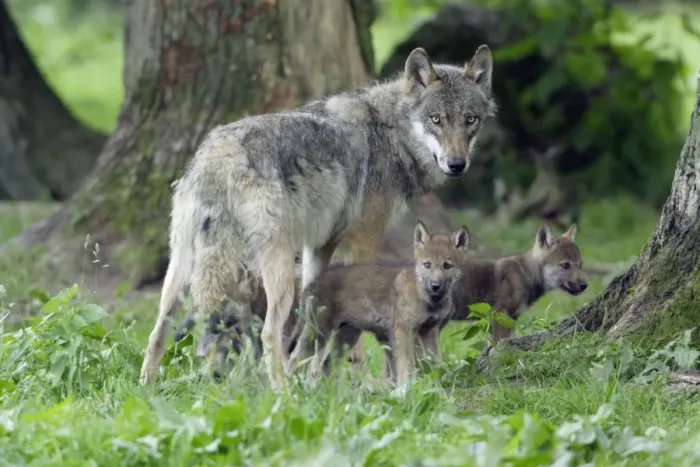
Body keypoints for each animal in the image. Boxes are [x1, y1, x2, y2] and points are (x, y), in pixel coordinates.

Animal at [286, 222, 470, 387]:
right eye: (427, 264)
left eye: (447, 265)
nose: (435, 285)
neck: (429, 300)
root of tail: (311, 284)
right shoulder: (403, 330)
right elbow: (405, 367)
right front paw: (405, 391)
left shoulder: (429, 331)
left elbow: (436, 364)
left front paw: (439, 389)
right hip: (319, 332)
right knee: (295, 359)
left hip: (347, 335)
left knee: (325, 363)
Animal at [446, 223, 587, 343]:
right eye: (565, 265)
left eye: (580, 265)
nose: (584, 285)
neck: (524, 274)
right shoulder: (501, 316)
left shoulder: (511, 319)